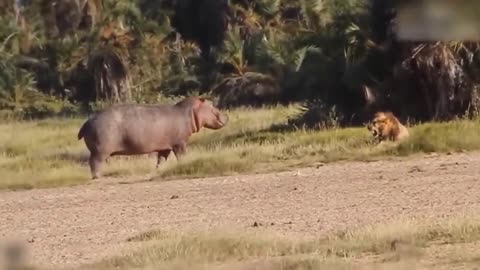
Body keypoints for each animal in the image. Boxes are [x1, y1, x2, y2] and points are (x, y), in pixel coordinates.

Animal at [77, 96, 229, 178]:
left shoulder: (165, 147)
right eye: (211, 105)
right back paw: (97, 177)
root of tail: (88, 120)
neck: (189, 112)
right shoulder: (180, 143)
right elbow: (181, 156)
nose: (226, 115)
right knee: (94, 163)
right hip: (100, 151)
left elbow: (161, 160)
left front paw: (158, 170)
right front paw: (184, 164)